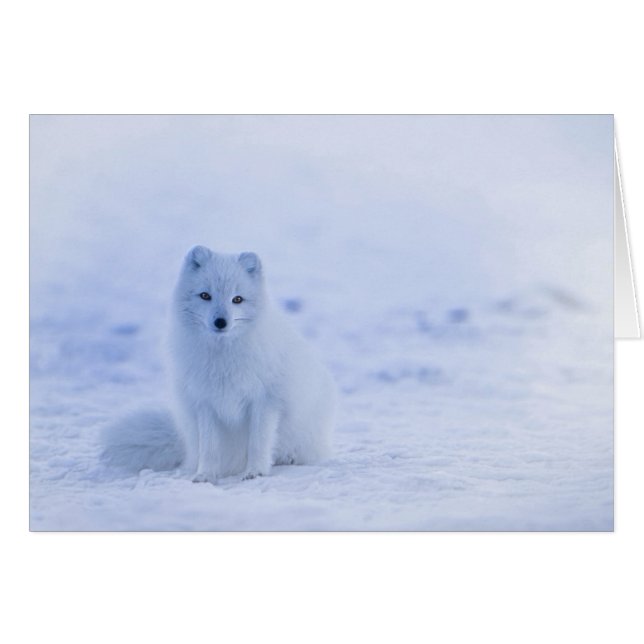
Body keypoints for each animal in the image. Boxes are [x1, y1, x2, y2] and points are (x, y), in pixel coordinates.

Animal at [101, 245, 337, 483]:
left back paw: (288, 458)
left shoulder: (265, 401)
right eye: (205, 295)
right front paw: (205, 475)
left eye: (237, 299)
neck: (223, 357)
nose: (221, 322)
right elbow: (209, 448)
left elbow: (258, 442)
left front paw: (255, 472)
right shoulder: (205, 402)